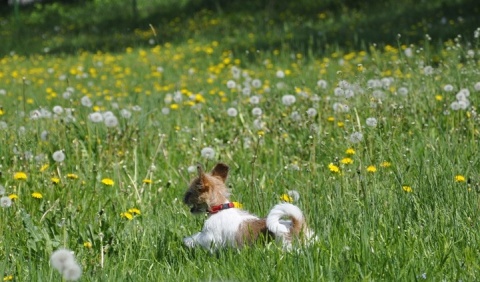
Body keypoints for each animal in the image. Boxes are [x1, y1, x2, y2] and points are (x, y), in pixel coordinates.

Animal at [181, 162, 316, 250]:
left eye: (189, 193)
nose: (183, 200)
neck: (220, 208)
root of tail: (296, 226)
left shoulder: (210, 237)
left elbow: (197, 238)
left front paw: (187, 241)